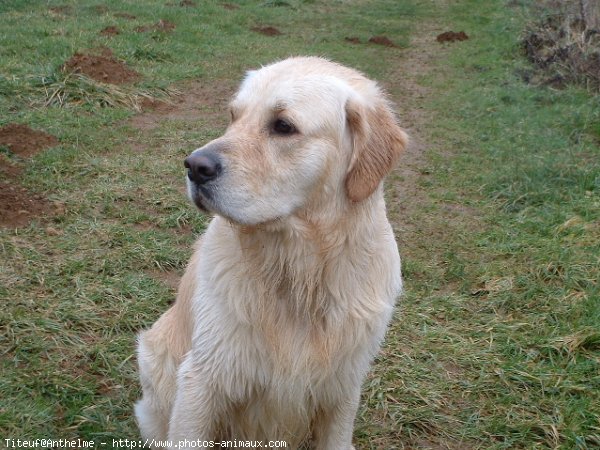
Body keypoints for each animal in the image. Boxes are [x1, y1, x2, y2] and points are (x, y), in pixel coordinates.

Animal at [135, 58, 408, 448]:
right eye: (233, 115)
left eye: (283, 126)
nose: (194, 166)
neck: (299, 270)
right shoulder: (203, 380)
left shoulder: (342, 388)